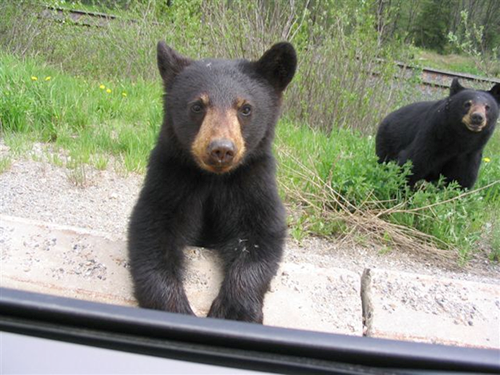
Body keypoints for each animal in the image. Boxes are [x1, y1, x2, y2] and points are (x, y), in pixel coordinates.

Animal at [128, 40, 296, 324]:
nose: (221, 149)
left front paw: (235, 310)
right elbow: (151, 231)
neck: (213, 179)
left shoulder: (252, 181)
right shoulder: (171, 177)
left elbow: (261, 233)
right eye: (198, 106)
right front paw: (175, 308)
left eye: (245, 108)